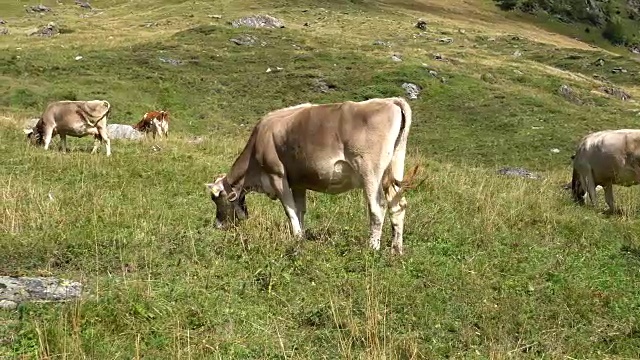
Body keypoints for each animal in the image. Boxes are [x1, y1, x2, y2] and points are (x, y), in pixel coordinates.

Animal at [202, 95, 418, 253]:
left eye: (216, 198)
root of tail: (390, 101)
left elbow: (289, 210)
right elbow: (300, 210)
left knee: (377, 207)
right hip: (394, 168)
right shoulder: (298, 182)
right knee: (398, 205)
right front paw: (302, 236)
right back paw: (396, 250)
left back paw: (373, 248)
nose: (217, 224)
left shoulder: (277, 176)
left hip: (370, 172)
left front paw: (297, 238)